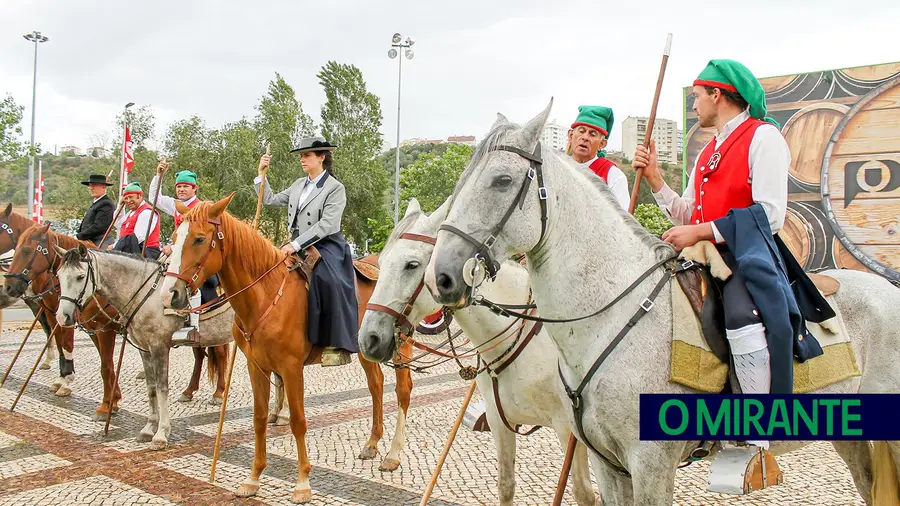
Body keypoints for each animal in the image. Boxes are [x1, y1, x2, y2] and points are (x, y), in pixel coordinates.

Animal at [160, 196, 414, 504]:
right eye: (174, 238)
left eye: (198, 238)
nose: (169, 294)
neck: (266, 294)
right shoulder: (256, 367)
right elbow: (258, 419)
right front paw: (253, 478)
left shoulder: (291, 369)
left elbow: (298, 421)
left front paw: (302, 483)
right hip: (368, 349)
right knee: (376, 385)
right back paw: (373, 443)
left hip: (401, 348)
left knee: (402, 390)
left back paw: (393, 455)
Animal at [358, 199, 596, 506]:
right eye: (381, 263)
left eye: (412, 265)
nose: (369, 338)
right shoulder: (500, 422)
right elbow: (506, 486)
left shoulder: (569, 432)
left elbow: (584, 493)